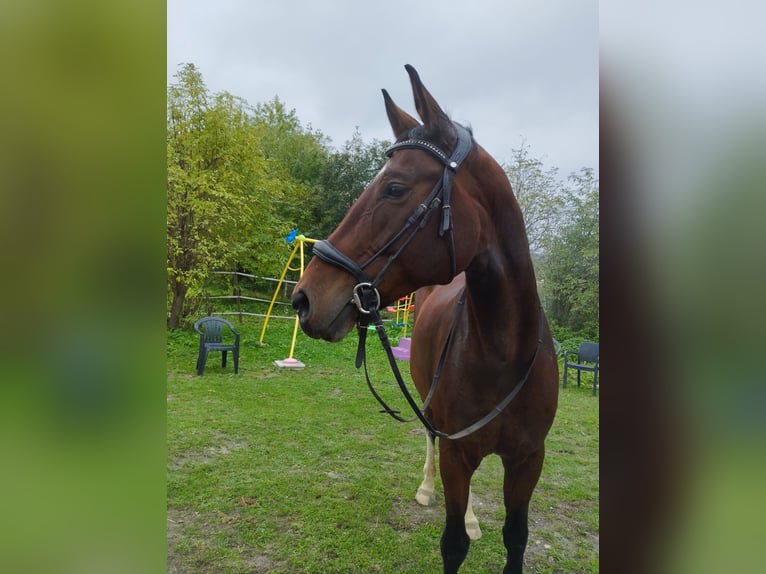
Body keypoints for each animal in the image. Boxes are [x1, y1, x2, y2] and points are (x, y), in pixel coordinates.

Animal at [292, 66, 560, 574]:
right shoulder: (457, 451)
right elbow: (453, 544)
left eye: (395, 188)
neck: (504, 350)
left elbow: (516, 537)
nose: (303, 298)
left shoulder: (528, 460)